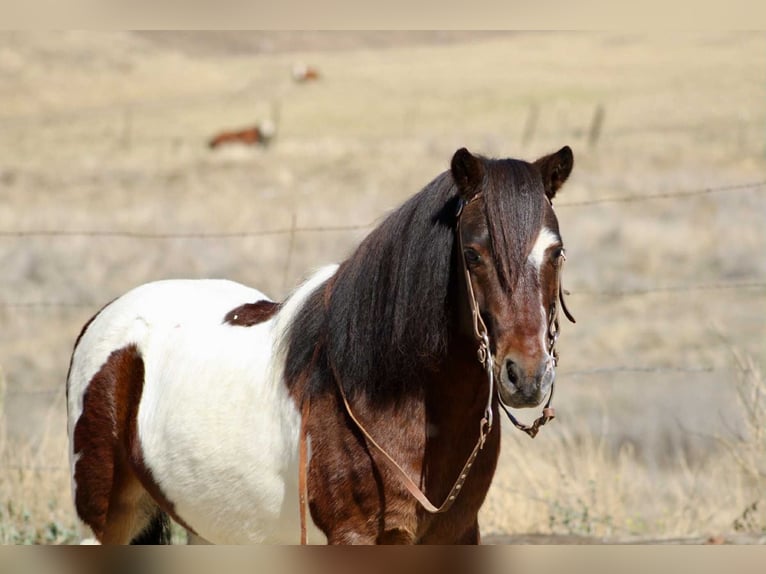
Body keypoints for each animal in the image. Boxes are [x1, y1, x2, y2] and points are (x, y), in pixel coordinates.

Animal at [66, 145, 575, 545]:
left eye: (556, 253)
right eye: (472, 255)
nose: (527, 376)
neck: (391, 395)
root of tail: (105, 316)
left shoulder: (458, 534)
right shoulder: (352, 537)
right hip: (108, 522)